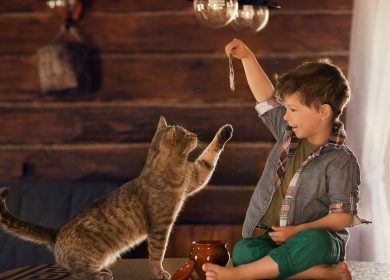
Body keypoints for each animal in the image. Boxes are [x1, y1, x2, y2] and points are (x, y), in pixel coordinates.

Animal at [0, 116, 232, 280]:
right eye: (186, 134)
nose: (194, 134)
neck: (173, 170)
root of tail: (56, 233)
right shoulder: (160, 227)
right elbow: (157, 255)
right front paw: (160, 273)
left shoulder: (196, 177)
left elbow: (208, 157)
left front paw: (225, 131)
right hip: (91, 258)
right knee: (79, 273)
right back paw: (102, 274)